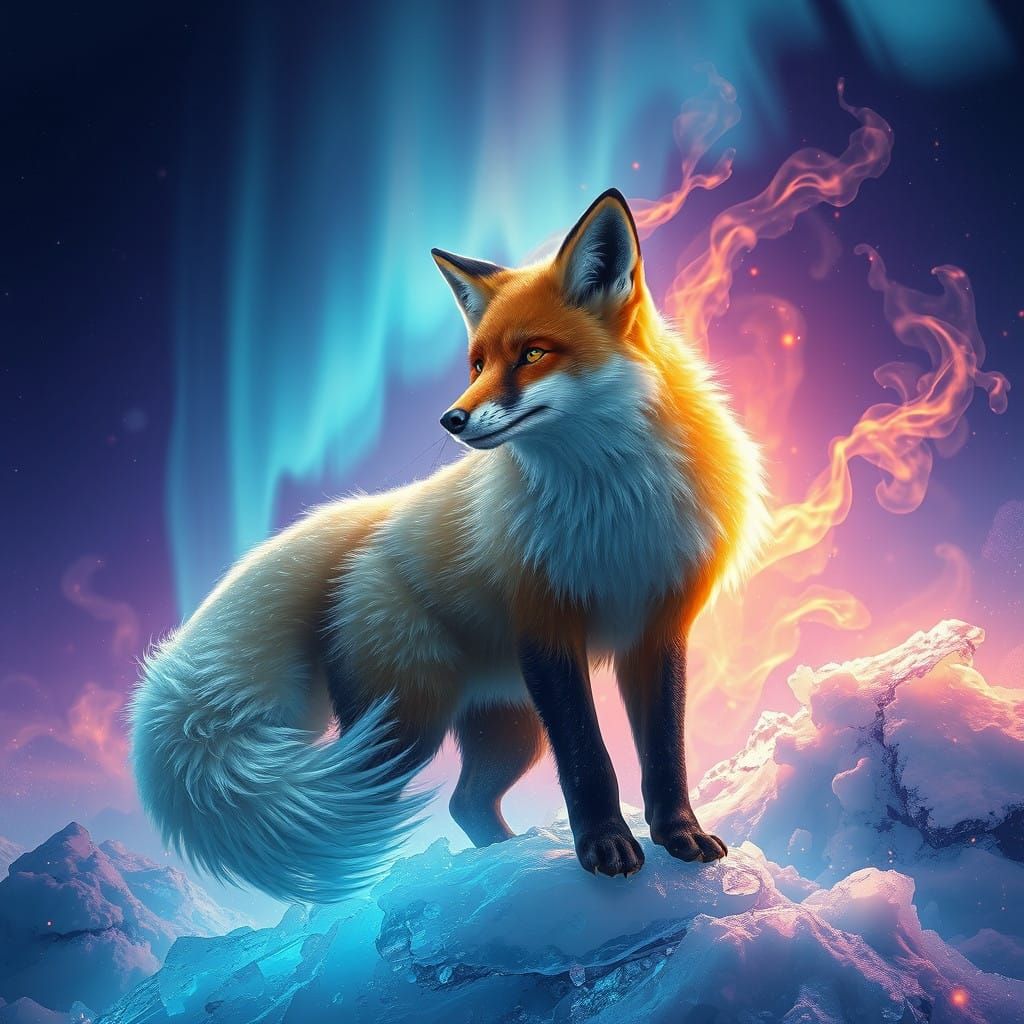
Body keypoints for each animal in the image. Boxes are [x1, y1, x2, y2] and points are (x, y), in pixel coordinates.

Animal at [130, 188, 768, 903]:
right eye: (477, 363)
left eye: (532, 354)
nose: (451, 419)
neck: (613, 512)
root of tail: (369, 523)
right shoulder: (546, 629)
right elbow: (589, 760)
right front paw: (605, 847)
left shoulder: (658, 629)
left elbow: (665, 753)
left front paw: (679, 837)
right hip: (405, 724)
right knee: (367, 814)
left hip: (510, 729)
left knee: (467, 803)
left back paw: (504, 865)